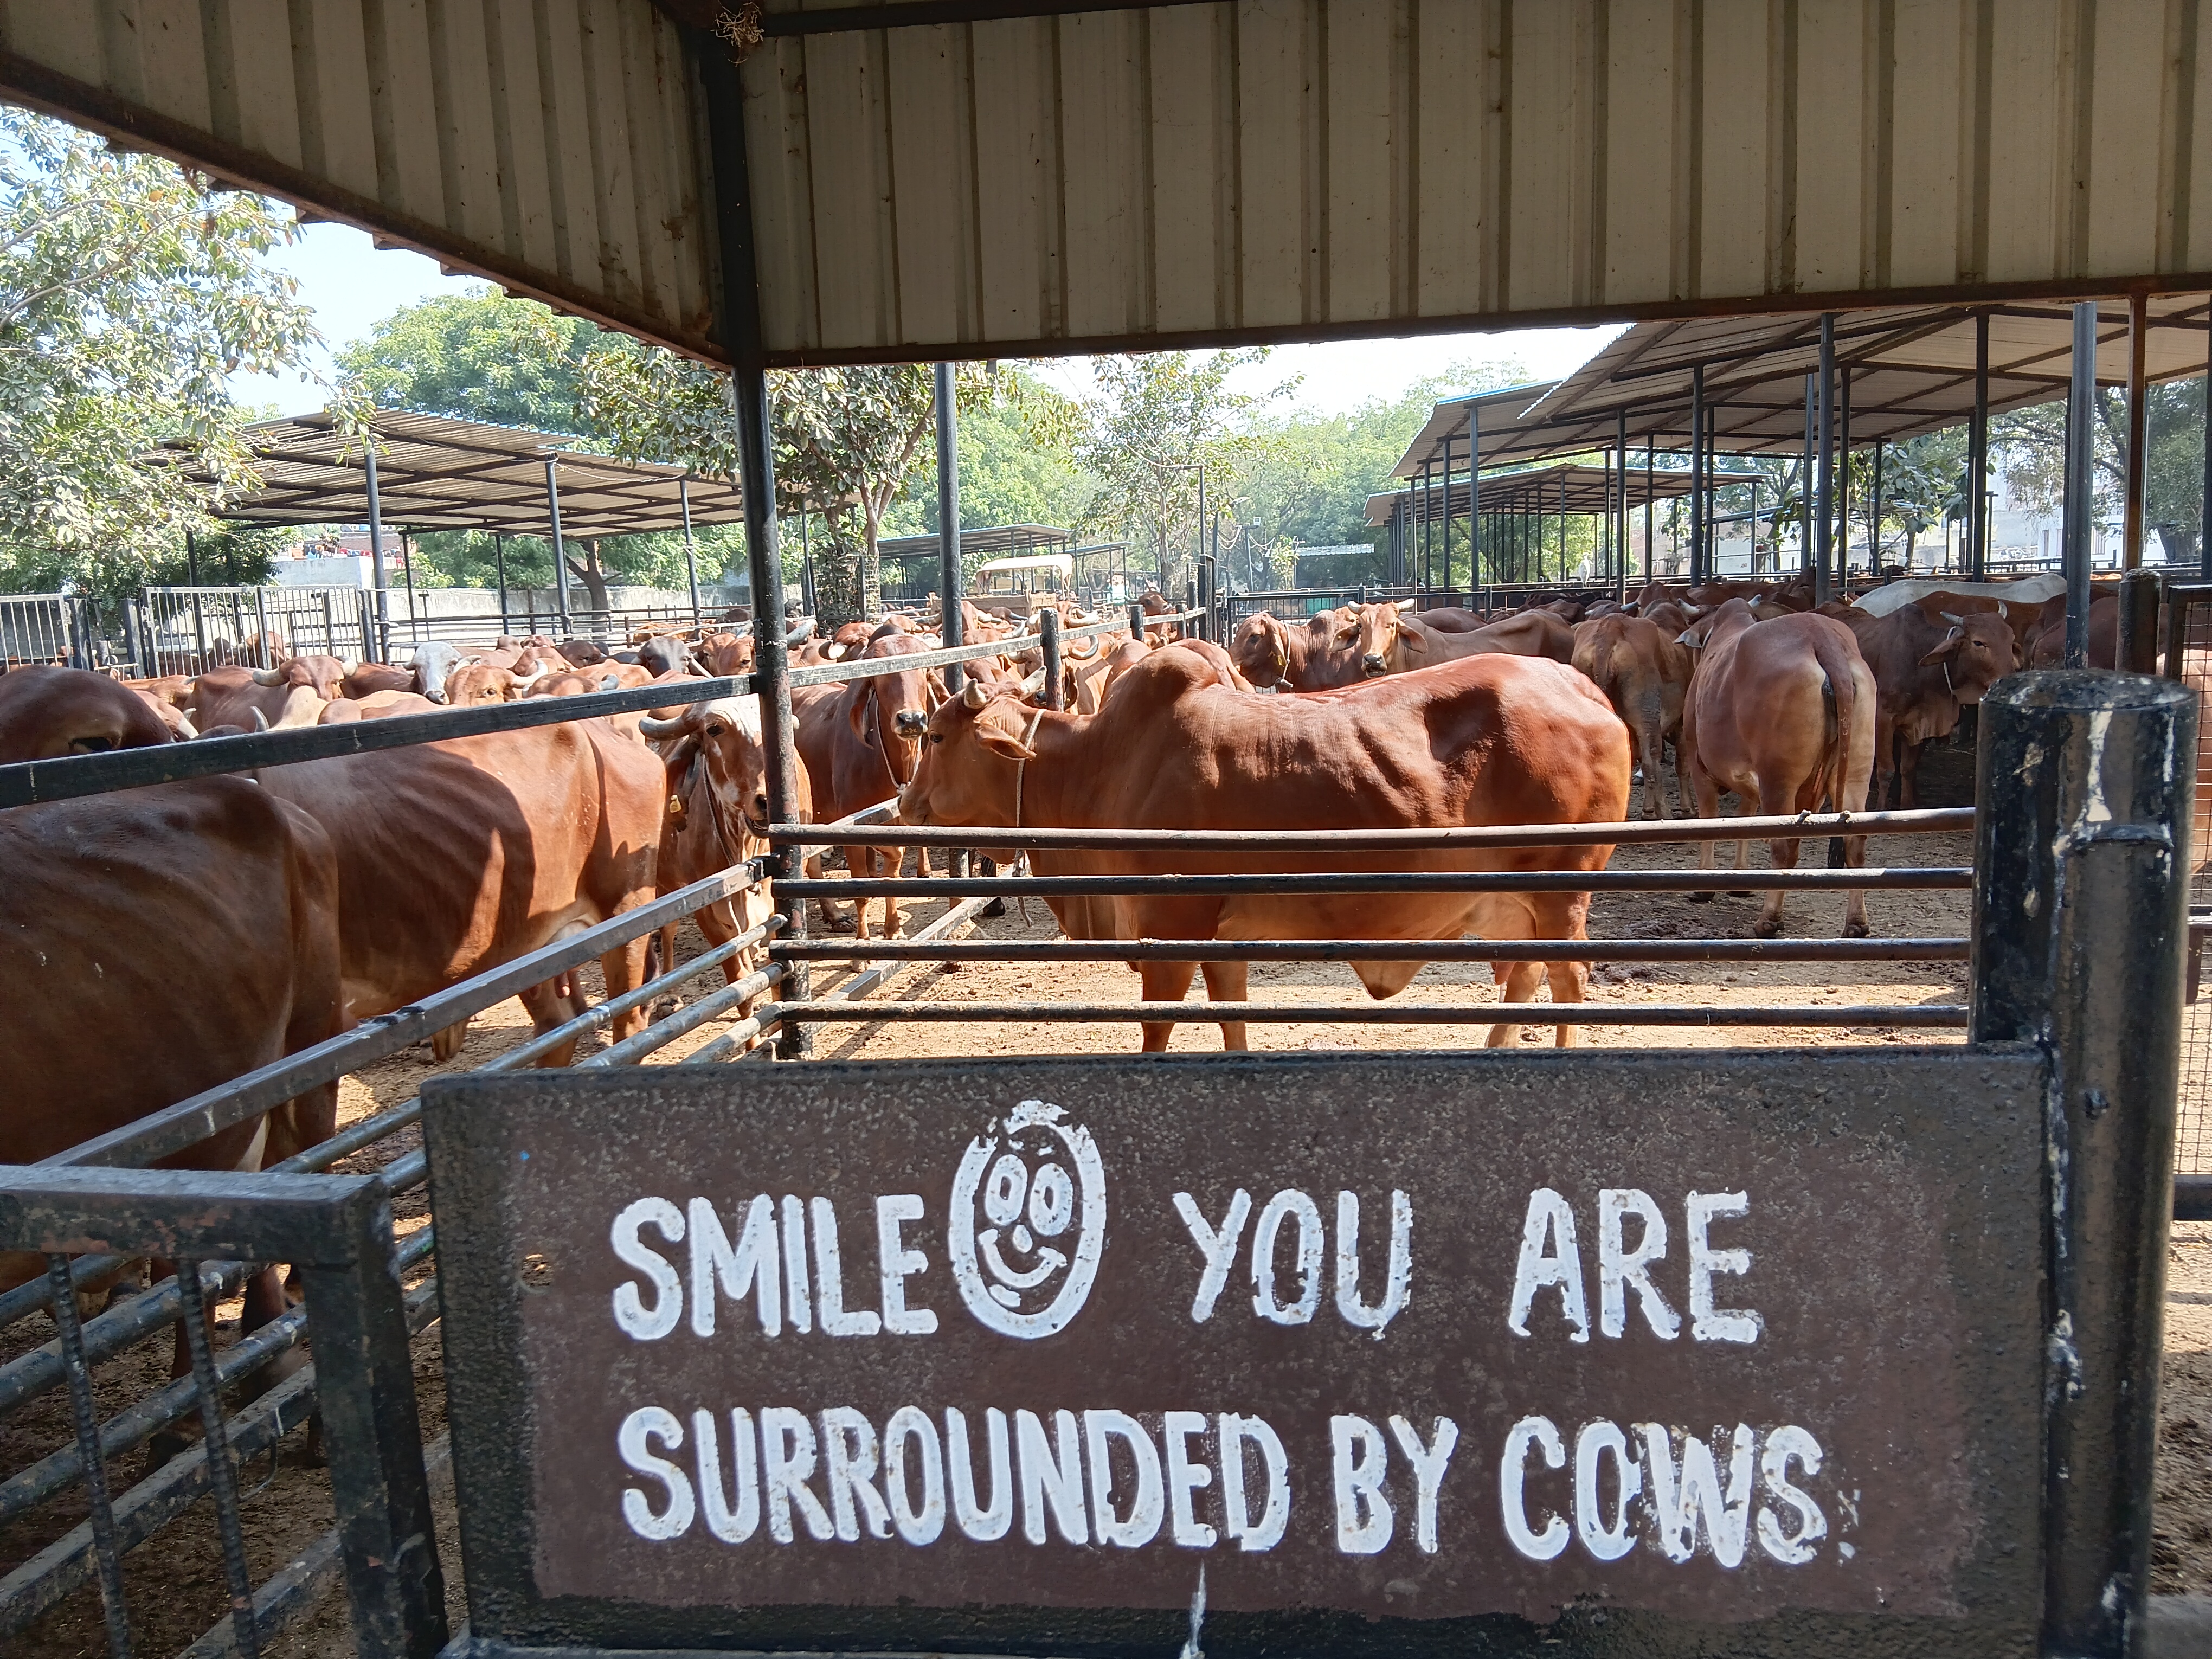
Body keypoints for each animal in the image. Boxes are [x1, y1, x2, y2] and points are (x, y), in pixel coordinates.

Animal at [889, 646, 1637, 1053]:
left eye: (937, 737)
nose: (903, 802)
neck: (1104, 764)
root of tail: (1583, 686)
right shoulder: (1223, 938)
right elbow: (1233, 1021)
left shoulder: (1171, 931)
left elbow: (1157, 1030)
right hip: (1519, 905)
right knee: (1525, 978)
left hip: (1562, 893)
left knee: (1568, 982)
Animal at [1574, 619, 1690, 827]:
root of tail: (1610, 629)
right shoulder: (1682, 721)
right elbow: (1682, 762)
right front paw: (1687, 809)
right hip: (1647, 717)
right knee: (1652, 761)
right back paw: (1665, 813)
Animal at [1681, 601, 1875, 942]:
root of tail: (1821, 636)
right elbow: (1746, 819)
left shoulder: (1699, 765)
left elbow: (1711, 820)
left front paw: (1705, 887)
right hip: (1855, 772)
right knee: (1855, 843)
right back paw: (1856, 923)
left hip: (1778, 777)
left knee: (1784, 846)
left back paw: (1768, 920)